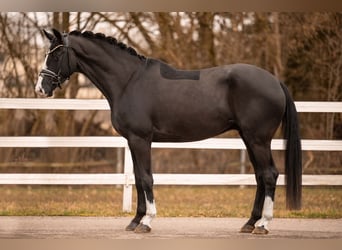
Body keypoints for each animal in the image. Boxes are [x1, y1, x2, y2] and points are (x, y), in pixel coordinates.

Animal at [35, 29, 302, 234]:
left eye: (57, 53)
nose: (40, 88)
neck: (129, 80)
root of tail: (275, 81)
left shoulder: (141, 139)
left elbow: (146, 178)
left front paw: (147, 221)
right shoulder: (133, 141)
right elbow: (139, 178)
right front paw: (135, 220)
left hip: (258, 139)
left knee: (269, 175)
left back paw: (263, 224)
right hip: (249, 138)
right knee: (260, 176)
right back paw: (249, 223)